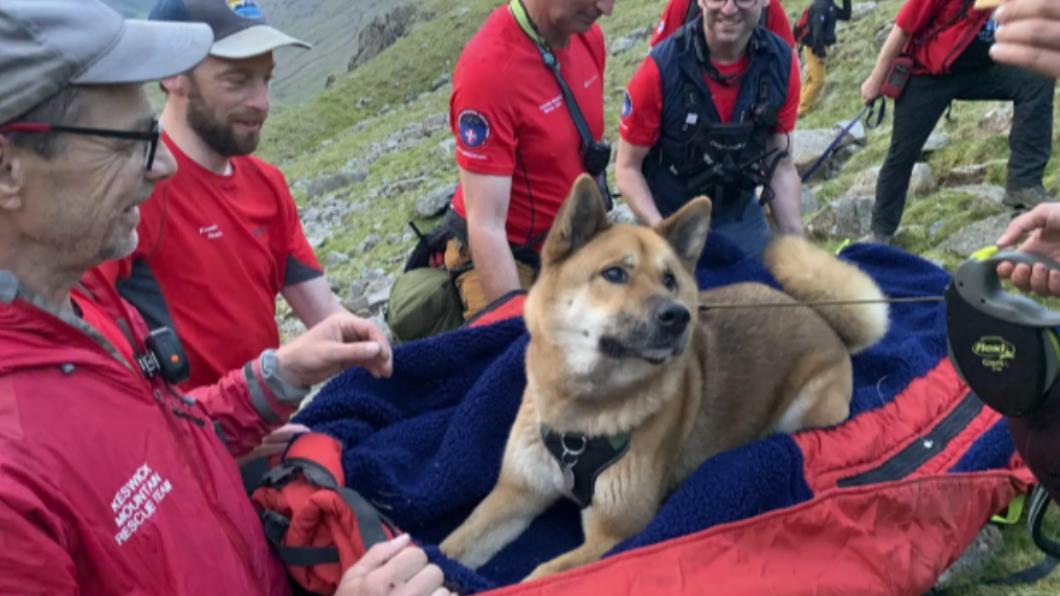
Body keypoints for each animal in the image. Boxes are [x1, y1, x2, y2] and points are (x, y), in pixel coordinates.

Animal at [436, 173, 886, 576]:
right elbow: (451, 547)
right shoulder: (515, 494)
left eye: (670, 280)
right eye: (614, 273)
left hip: (808, 410)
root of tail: (822, 320)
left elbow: (541, 575)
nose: (678, 316)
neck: (580, 414)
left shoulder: (615, 533)